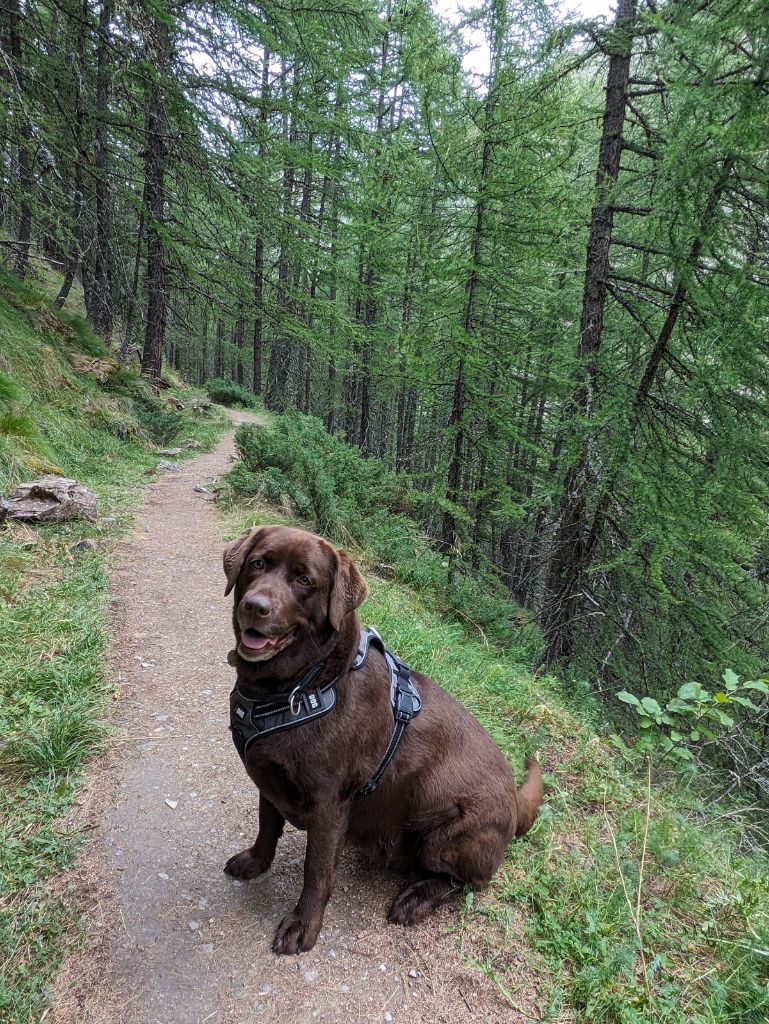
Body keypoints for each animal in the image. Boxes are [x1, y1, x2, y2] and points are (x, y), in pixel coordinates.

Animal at [224, 524, 548, 954]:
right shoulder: (269, 780)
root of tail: (513, 798)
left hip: (447, 835)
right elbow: (266, 826)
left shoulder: (329, 806)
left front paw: (303, 925)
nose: (255, 606)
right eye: (258, 563)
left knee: (466, 882)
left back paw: (416, 899)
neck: (305, 684)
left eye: (304, 580)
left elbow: (317, 871)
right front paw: (255, 863)